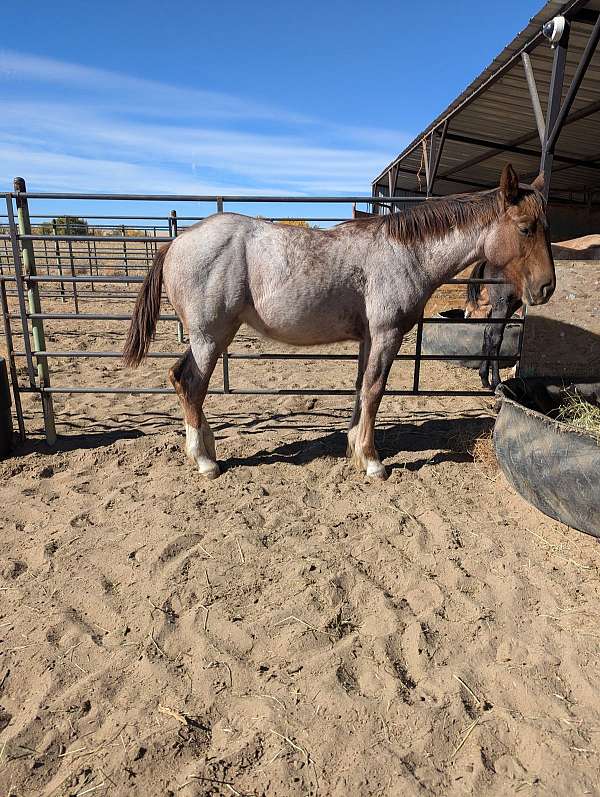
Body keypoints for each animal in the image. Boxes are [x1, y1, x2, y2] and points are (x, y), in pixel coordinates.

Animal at [124, 163, 556, 478]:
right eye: (525, 228)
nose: (546, 287)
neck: (404, 253)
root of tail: (177, 241)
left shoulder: (369, 339)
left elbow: (361, 389)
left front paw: (354, 447)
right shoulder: (386, 335)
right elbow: (375, 391)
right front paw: (373, 462)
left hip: (211, 336)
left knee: (182, 380)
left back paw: (207, 448)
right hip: (210, 337)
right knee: (190, 384)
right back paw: (205, 461)